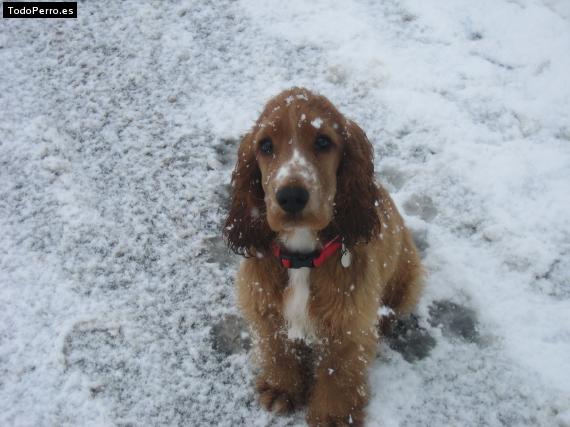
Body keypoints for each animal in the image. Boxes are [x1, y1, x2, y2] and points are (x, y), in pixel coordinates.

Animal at [222, 88, 422, 426]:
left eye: (323, 142)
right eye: (265, 146)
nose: (291, 197)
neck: (302, 255)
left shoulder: (348, 323)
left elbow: (337, 373)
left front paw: (332, 417)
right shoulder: (265, 306)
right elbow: (278, 349)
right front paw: (280, 388)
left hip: (408, 276)